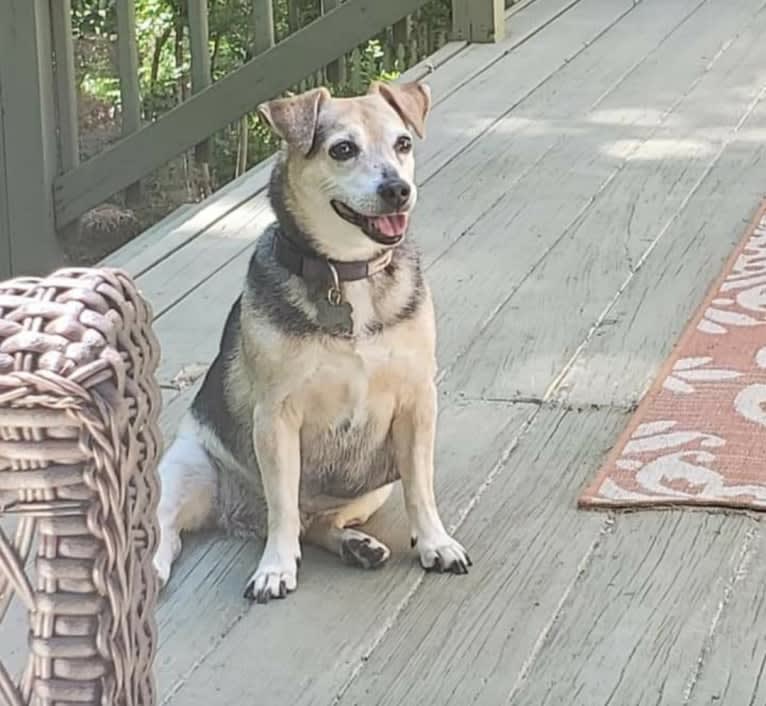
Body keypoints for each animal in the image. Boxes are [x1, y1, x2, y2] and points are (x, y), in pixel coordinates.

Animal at [153, 81, 472, 600]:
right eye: (342, 150)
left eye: (403, 143)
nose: (397, 190)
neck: (347, 272)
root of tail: (243, 517)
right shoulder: (276, 418)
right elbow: (282, 504)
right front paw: (275, 568)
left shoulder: (417, 403)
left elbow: (420, 487)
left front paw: (435, 542)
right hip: (186, 469)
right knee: (171, 530)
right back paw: (155, 568)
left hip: (371, 486)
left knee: (320, 523)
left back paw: (356, 545)